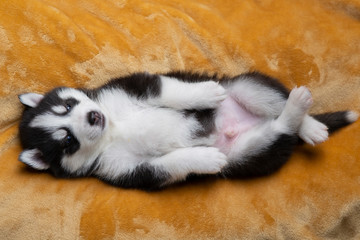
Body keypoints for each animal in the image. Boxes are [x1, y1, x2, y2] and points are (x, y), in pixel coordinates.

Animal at [18, 71, 358, 189]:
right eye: (67, 140)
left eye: (68, 104)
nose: (92, 116)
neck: (113, 128)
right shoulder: (130, 170)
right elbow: (173, 163)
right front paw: (205, 159)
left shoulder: (136, 85)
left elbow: (172, 91)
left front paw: (206, 93)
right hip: (250, 153)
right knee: (280, 127)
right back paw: (295, 116)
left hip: (247, 87)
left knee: (279, 99)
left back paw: (310, 123)